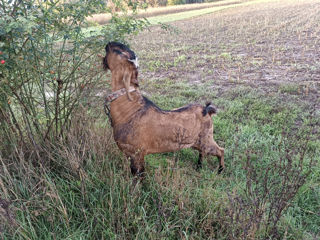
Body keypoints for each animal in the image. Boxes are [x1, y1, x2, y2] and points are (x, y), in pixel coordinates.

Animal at [104, 41, 224, 176]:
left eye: (119, 51)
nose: (108, 43)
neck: (131, 108)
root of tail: (206, 110)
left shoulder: (136, 154)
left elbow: (139, 175)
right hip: (196, 142)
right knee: (202, 152)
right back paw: (199, 167)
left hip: (207, 139)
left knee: (221, 150)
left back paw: (220, 170)